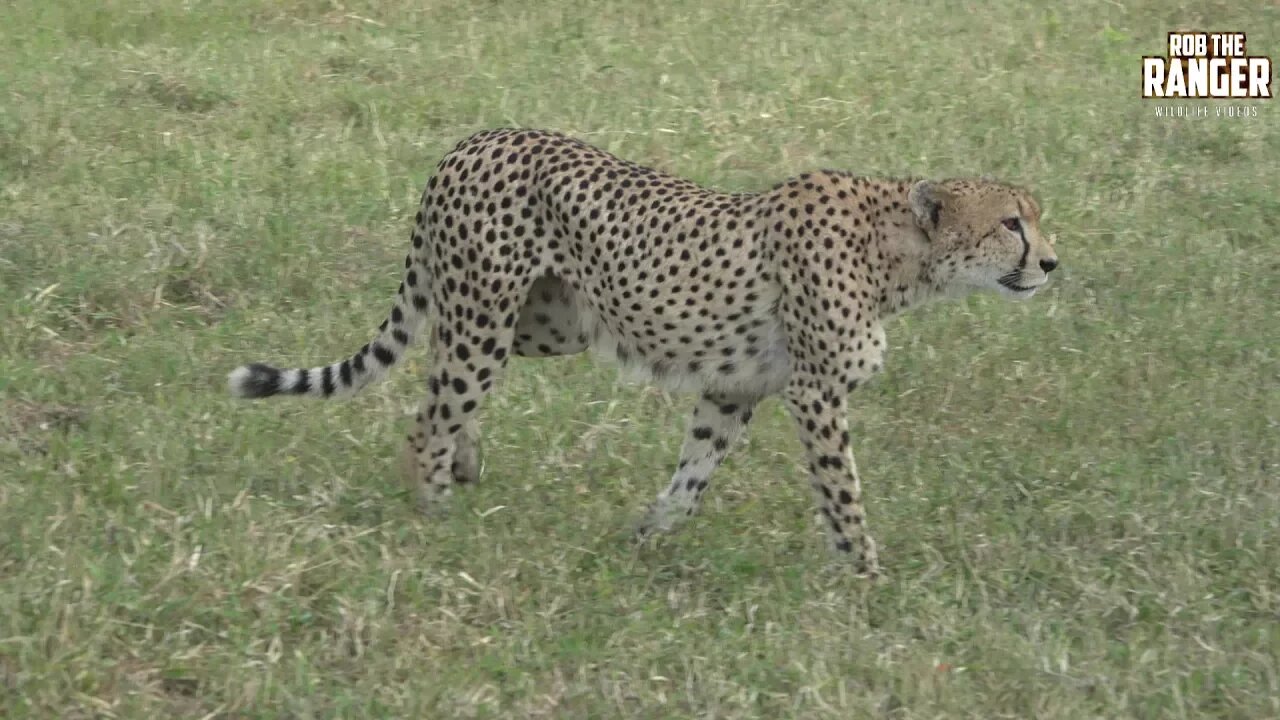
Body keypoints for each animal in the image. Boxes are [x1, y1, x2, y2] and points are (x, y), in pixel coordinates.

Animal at [230, 130, 1059, 576]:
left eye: (1035, 220)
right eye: (1012, 223)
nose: (1051, 263)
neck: (900, 256)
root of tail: (475, 140)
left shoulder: (735, 387)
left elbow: (693, 473)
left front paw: (646, 537)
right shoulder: (815, 392)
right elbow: (842, 493)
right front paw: (866, 575)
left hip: (537, 320)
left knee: (440, 380)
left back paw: (465, 461)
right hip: (487, 313)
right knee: (430, 416)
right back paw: (432, 512)